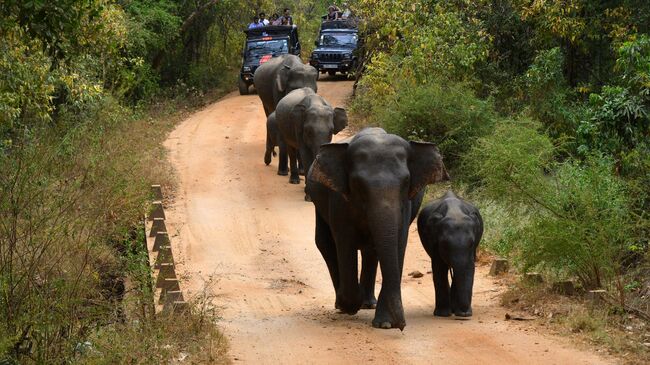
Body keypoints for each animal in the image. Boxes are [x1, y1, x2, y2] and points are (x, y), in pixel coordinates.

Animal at [306, 128, 448, 330]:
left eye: (406, 182)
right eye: (358, 183)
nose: (401, 325)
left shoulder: (406, 205)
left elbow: (398, 243)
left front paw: (385, 324)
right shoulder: (339, 200)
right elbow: (345, 242)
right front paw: (349, 305)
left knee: (370, 250)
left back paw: (368, 303)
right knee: (325, 243)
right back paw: (343, 304)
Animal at [416, 189, 480, 318]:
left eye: (471, 243)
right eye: (445, 245)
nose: (465, 313)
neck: (455, 212)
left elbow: (469, 267)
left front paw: (462, 313)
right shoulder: (433, 240)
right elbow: (439, 268)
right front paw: (443, 314)